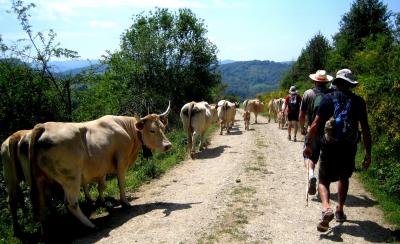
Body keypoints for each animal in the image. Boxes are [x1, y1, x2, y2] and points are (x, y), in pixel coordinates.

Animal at [28, 102, 171, 230]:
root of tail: (44, 126)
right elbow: (121, 182)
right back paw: (90, 225)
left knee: (42, 208)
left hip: (41, 181)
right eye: (152, 130)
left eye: (163, 128)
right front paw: (124, 202)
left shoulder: (101, 167)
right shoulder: (121, 161)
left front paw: (100, 201)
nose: (168, 145)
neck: (125, 128)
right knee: (71, 203)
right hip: (71, 179)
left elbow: (101, 186)